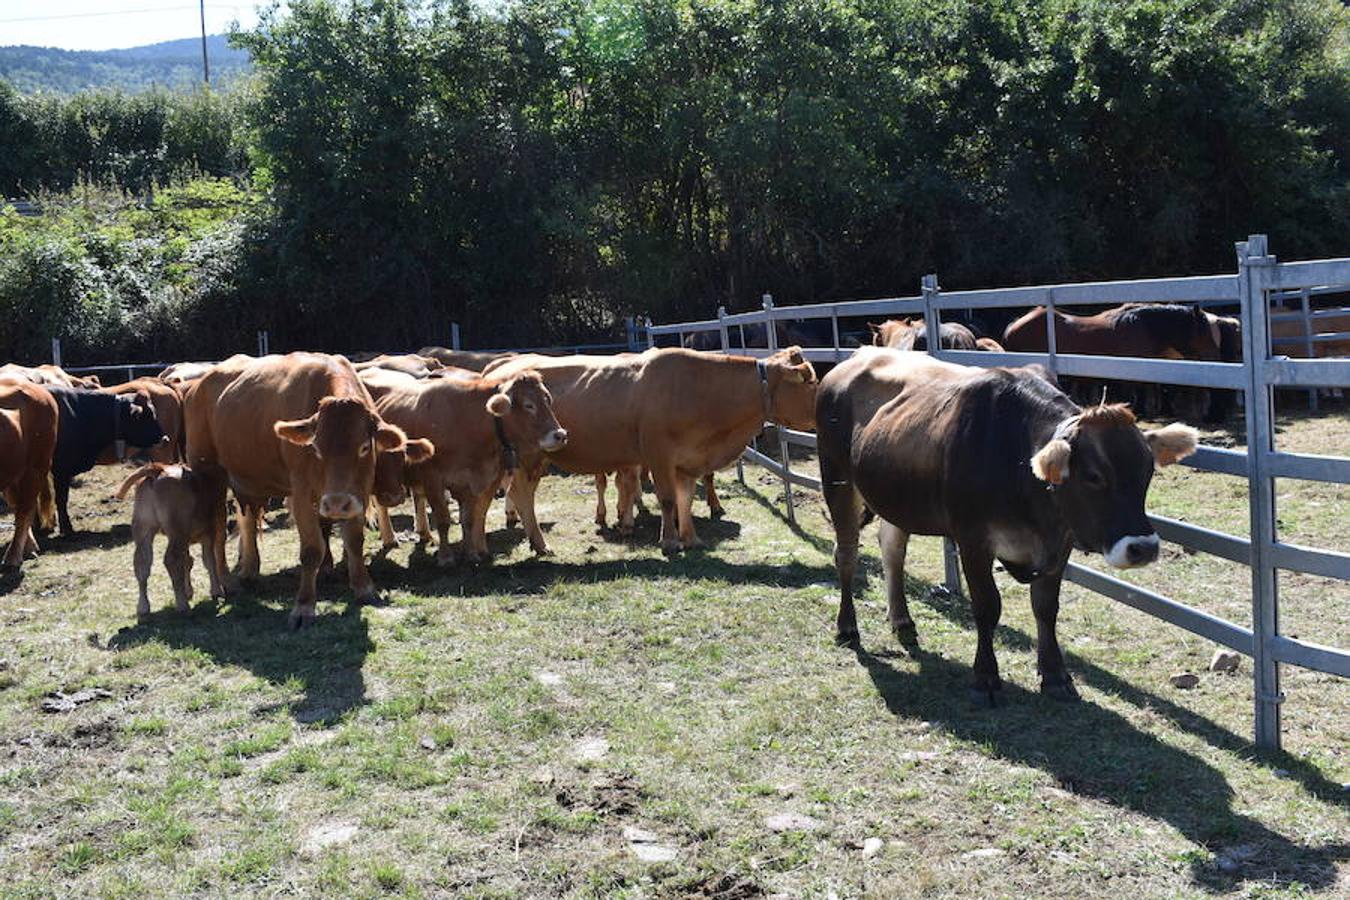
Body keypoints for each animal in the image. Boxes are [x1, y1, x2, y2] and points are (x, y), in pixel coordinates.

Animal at [0, 383, 58, 574]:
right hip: (14, 475)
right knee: (20, 506)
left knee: (25, 509)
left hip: (36, 465)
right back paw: (29, 547)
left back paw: (13, 558)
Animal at [120, 464, 230, 620]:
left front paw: (188, 590)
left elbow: (188, 561)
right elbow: (209, 560)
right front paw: (216, 591)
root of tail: (159, 470)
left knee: (142, 563)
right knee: (171, 559)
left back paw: (143, 607)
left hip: (144, 528)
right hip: (177, 531)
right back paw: (182, 605)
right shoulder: (209, 531)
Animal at [184, 350, 415, 626]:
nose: (336, 503)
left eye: (364, 447)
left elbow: (354, 540)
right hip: (211, 477)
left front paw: (363, 587)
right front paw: (304, 605)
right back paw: (226, 582)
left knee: (247, 521)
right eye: (315, 448)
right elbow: (312, 549)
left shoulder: (357, 493)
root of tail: (199, 384)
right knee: (218, 535)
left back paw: (249, 569)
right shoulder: (302, 493)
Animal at [367, 367, 567, 564]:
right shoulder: (433, 478)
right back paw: (390, 538)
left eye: (547, 400)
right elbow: (443, 519)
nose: (561, 435)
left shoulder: (470, 481)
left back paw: (424, 534)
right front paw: (446, 557)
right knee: (381, 504)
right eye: (528, 405)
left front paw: (471, 553)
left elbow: (469, 519)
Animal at [815, 348, 1198, 707]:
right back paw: (847, 627)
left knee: (892, 550)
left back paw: (902, 621)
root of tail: (853, 360)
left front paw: (1056, 675)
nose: (1143, 548)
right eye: (1093, 476)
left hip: (895, 498)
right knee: (846, 554)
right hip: (837, 478)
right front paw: (985, 677)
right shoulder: (972, 540)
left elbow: (1046, 607)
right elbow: (987, 606)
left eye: (1148, 469)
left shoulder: (1060, 544)